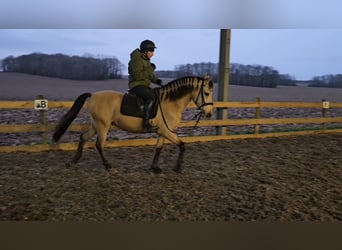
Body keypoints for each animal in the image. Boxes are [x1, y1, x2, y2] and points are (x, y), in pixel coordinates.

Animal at [52, 75, 214, 174]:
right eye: (206, 93)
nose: (209, 113)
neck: (170, 103)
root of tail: (93, 95)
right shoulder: (166, 132)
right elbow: (182, 145)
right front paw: (178, 167)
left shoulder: (163, 132)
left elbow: (158, 148)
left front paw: (155, 167)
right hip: (103, 126)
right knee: (99, 145)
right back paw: (109, 167)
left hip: (95, 125)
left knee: (83, 137)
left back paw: (74, 161)